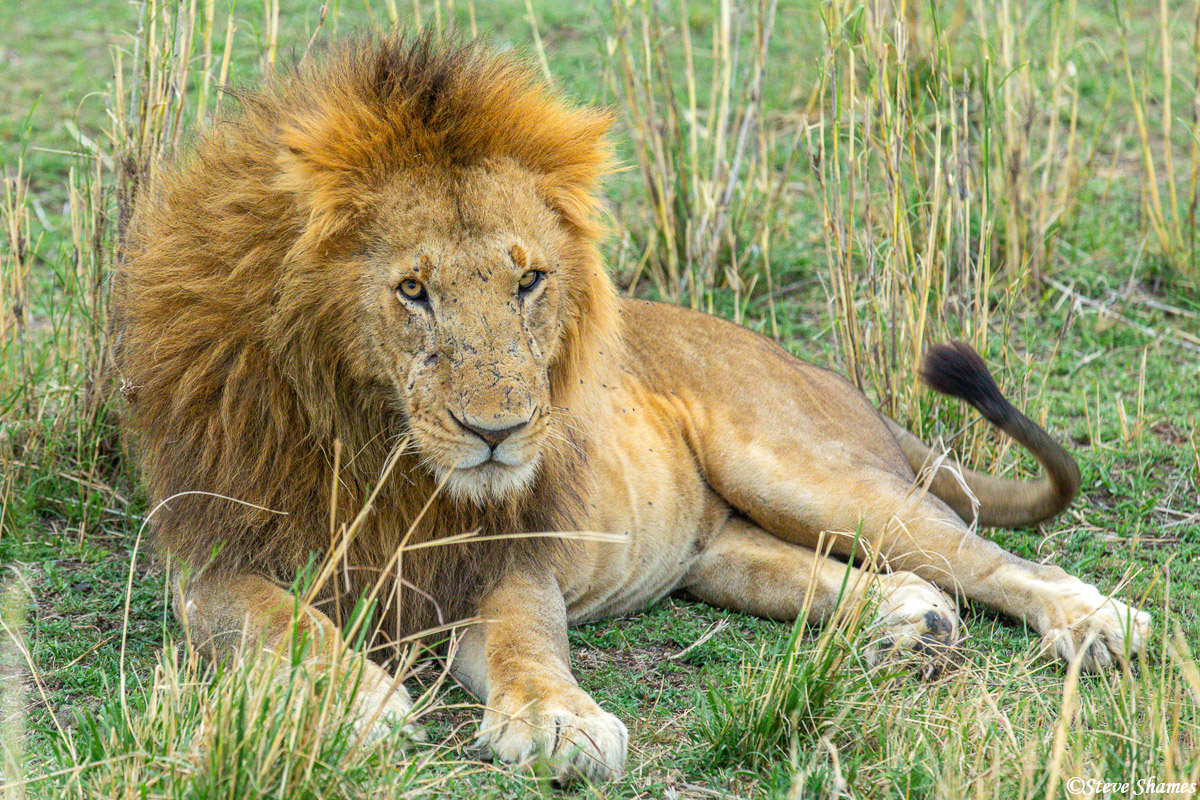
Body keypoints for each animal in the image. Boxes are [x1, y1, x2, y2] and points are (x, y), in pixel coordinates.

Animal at [114, 35, 1152, 782]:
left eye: (529, 280)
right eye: (413, 290)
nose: (498, 434)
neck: (375, 448)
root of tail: (814, 367)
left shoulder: (510, 557)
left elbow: (526, 643)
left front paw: (557, 721)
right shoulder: (212, 561)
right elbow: (285, 626)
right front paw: (353, 708)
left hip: (795, 467)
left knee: (990, 559)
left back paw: (1097, 624)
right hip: (720, 552)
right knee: (858, 576)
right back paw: (910, 625)